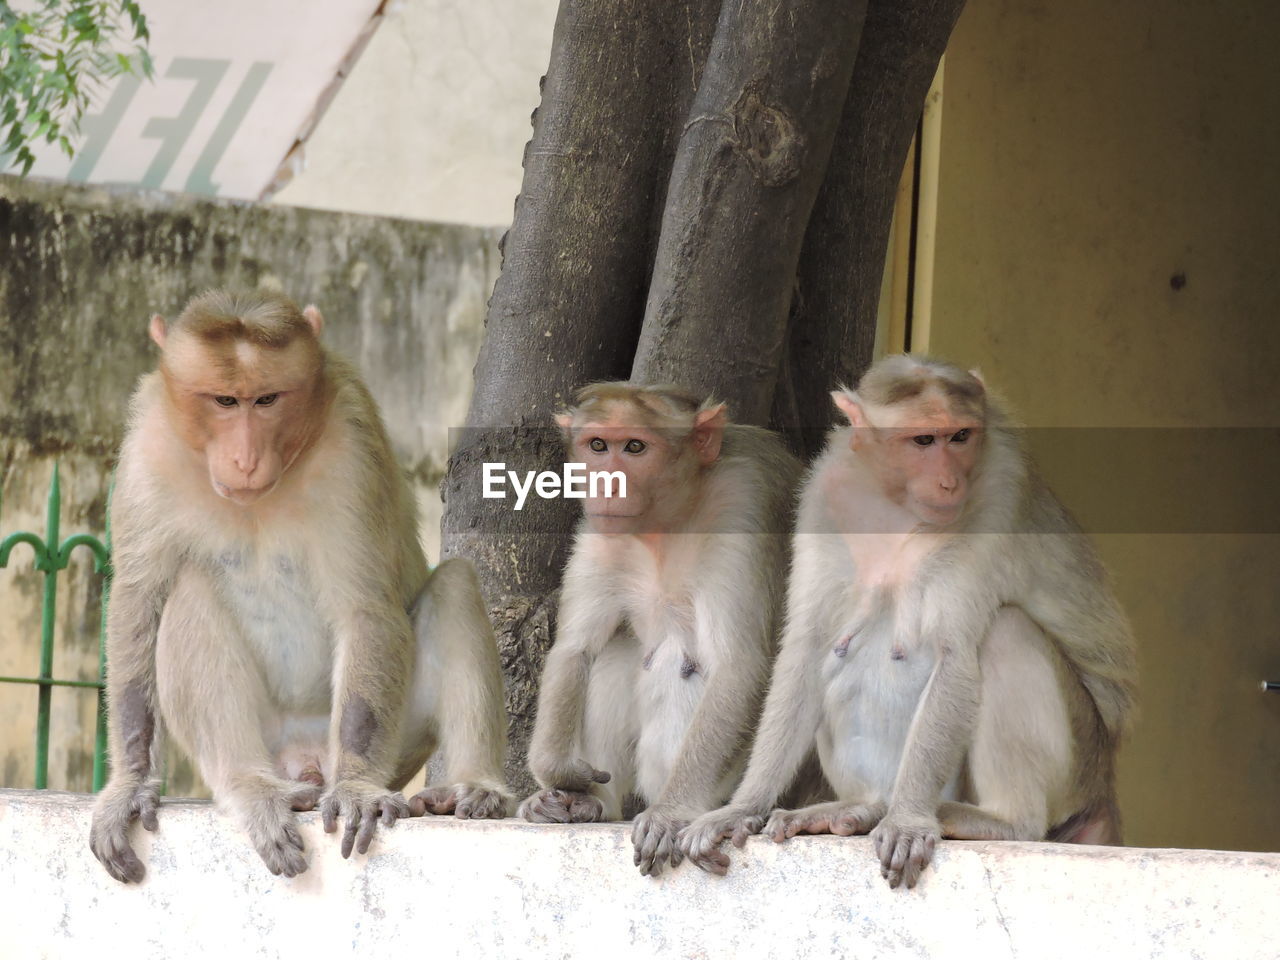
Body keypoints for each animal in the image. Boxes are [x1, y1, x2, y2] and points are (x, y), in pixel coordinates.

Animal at [88, 289, 514, 885]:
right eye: (224, 400)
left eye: (267, 399)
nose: (245, 458)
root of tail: (307, 763)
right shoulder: (148, 446)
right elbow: (137, 599)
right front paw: (129, 784)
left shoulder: (353, 442)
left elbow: (364, 607)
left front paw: (357, 789)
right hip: (268, 742)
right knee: (190, 590)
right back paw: (253, 786)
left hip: (396, 741)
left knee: (454, 584)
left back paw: (472, 785)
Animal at [517, 378, 798, 875]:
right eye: (597, 446)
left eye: (635, 447)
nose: (607, 485)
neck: (668, 523)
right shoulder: (600, 529)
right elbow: (574, 648)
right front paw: (560, 771)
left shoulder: (744, 505)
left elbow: (740, 665)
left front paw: (671, 812)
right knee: (614, 654)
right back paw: (586, 803)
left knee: (676, 659)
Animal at [680, 358, 1141, 890]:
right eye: (923, 440)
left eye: (960, 436)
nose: (949, 483)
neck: (895, 503)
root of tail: (1104, 787)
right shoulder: (823, 495)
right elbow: (807, 647)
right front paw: (743, 806)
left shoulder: (997, 500)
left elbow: (955, 657)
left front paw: (907, 820)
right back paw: (861, 808)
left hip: (1079, 767)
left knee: (1006, 633)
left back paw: (995, 820)